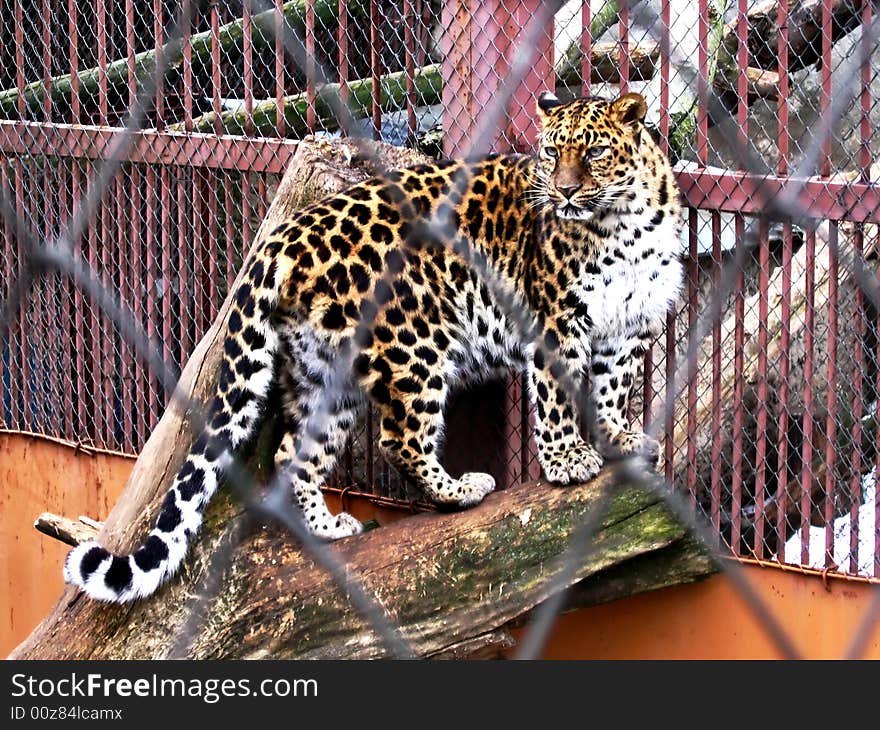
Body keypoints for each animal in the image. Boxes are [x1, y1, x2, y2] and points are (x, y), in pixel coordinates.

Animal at [65, 91, 684, 600]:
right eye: (553, 152)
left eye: (595, 152)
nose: (565, 190)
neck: (624, 224)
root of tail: (284, 238)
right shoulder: (555, 317)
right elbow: (557, 397)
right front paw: (567, 461)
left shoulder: (628, 326)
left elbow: (611, 388)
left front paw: (619, 438)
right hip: (416, 342)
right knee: (398, 439)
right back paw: (462, 491)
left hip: (324, 373)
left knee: (293, 454)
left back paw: (329, 527)